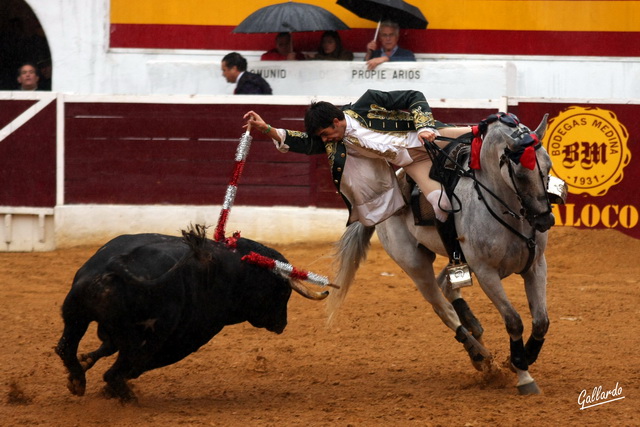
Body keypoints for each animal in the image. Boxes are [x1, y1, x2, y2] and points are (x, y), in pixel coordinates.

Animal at [55, 226, 328, 402]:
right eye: (283, 293)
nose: (282, 324)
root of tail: (117, 264)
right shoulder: (192, 335)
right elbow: (136, 364)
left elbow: (106, 347)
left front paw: (86, 361)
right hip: (150, 337)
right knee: (119, 369)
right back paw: (125, 395)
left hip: (75, 313)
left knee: (67, 347)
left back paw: (78, 379)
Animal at [330, 113, 560, 394]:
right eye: (519, 173)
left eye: (548, 165)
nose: (544, 220)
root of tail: (388, 199)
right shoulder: (486, 273)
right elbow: (514, 320)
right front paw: (523, 374)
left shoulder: (536, 265)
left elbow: (541, 321)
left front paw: (522, 359)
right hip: (414, 263)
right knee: (441, 305)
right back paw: (479, 353)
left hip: (458, 259)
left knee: (447, 287)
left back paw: (476, 338)